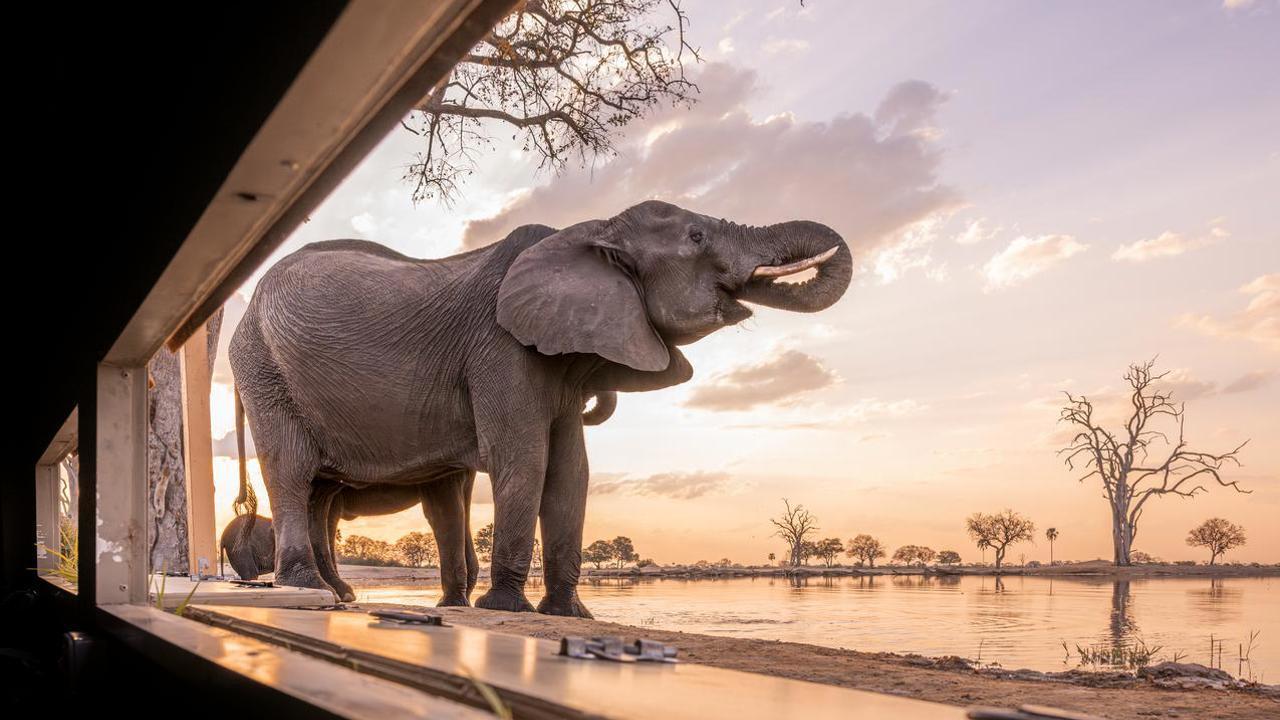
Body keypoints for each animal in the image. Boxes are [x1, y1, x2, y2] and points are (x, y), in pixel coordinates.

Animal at [228, 200, 850, 617]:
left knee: (318, 492)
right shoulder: (500, 346)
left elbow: (572, 473)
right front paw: (504, 608)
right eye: (696, 237)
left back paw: (335, 594)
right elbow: (525, 459)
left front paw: (569, 614)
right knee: (291, 472)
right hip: (262, 367)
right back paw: (309, 590)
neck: (593, 231)